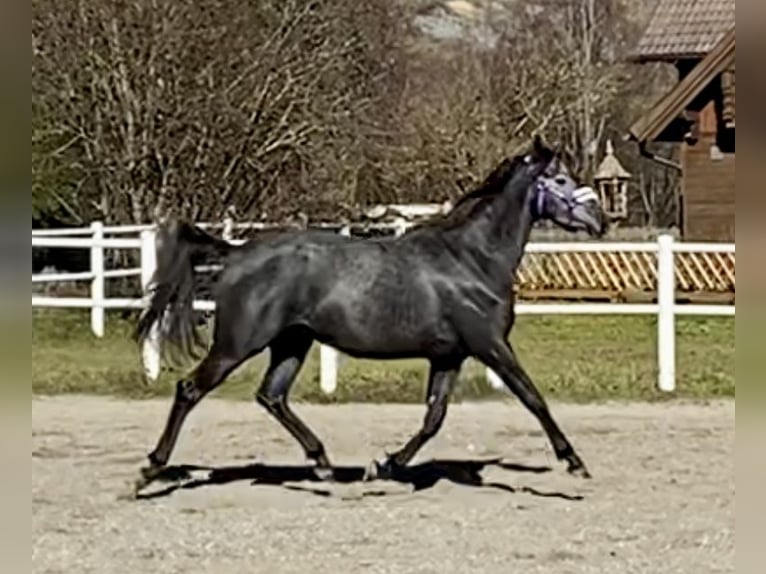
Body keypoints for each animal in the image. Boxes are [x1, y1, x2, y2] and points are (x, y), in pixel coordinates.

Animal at [134, 136, 612, 496]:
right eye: (562, 179)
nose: (601, 220)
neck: (472, 259)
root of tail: (237, 253)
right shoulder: (490, 345)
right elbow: (533, 398)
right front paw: (574, 462)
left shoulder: (449, 356)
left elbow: (433, 418)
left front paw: (384, 466)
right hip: (238, 342)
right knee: (190, 389)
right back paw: (150, 470)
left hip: (292, 342)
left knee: (272, 396)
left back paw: (323, 464)